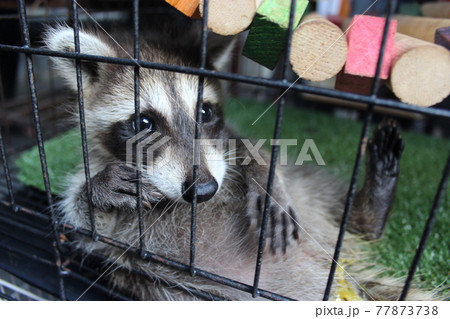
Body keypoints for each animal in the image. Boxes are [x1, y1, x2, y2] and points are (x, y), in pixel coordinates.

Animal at [44, 21, 432, 300]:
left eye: (205, 112)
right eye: (143, 123)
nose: (203, 189)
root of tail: (336, 277)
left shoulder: (221, 142)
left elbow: (249, 148)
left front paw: (263, 176)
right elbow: (90, 228)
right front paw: (96, 190)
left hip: (308, 197)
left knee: (329, 197)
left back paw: (369, 207)